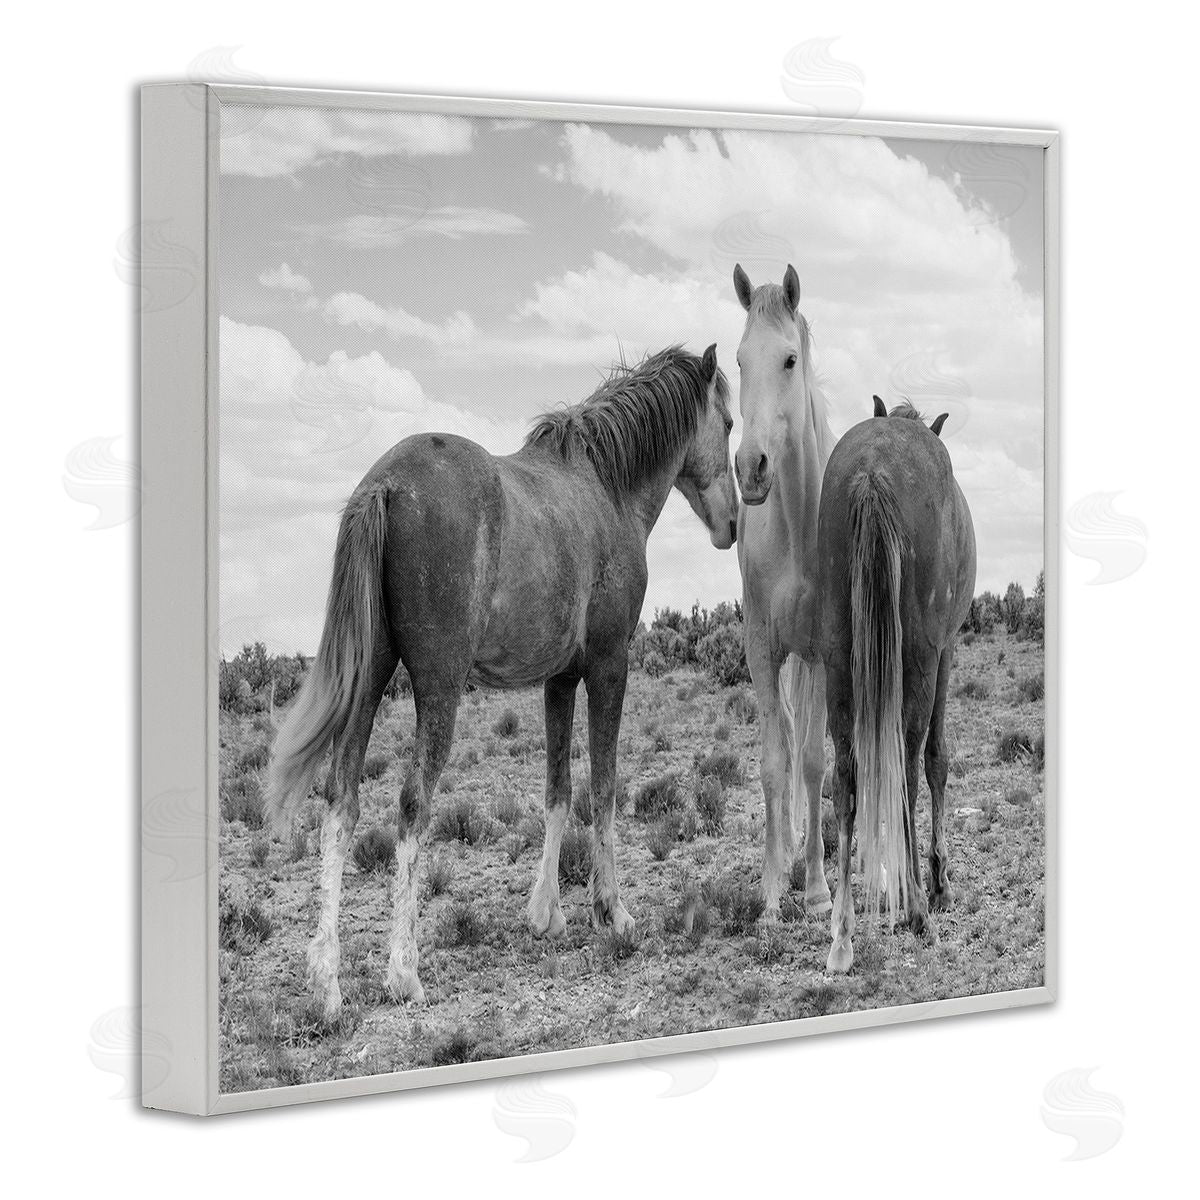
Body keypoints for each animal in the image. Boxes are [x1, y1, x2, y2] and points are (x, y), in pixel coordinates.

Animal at [265, 344, 738, 1015]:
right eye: (728, 422)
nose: (731, 524)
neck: (606, 489)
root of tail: (383, 485)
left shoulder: (559, 680)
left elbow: (558, 791)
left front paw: (546, 914)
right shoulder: (609, 666)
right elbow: (605, 788)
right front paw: (612, 912)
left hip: (371, 678)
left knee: (342, 802)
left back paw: (327, 981)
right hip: (438, 688)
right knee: (412, 805)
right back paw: (403, 972)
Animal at [817, 401, 976, 972]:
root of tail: (872, 471)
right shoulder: (945, 651)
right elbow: (936, 759)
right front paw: (939, 882)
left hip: (838, 659)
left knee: (845, 778)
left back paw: (842, 936)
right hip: (922, 659)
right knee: (907, 765)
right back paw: (917, 911)